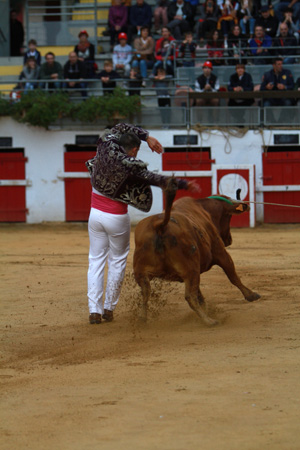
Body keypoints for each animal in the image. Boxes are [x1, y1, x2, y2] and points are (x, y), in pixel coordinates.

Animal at [134, 181, 260, 326]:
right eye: (228, 216)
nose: (229, 239)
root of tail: (160, 226)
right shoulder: (220, 253)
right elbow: (233, 276)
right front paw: (251, 295)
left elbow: (199, 292)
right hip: (191, 267)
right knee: (190, 296)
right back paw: (209, 321)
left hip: (142, 272)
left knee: (145, 293)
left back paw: (142, 319)